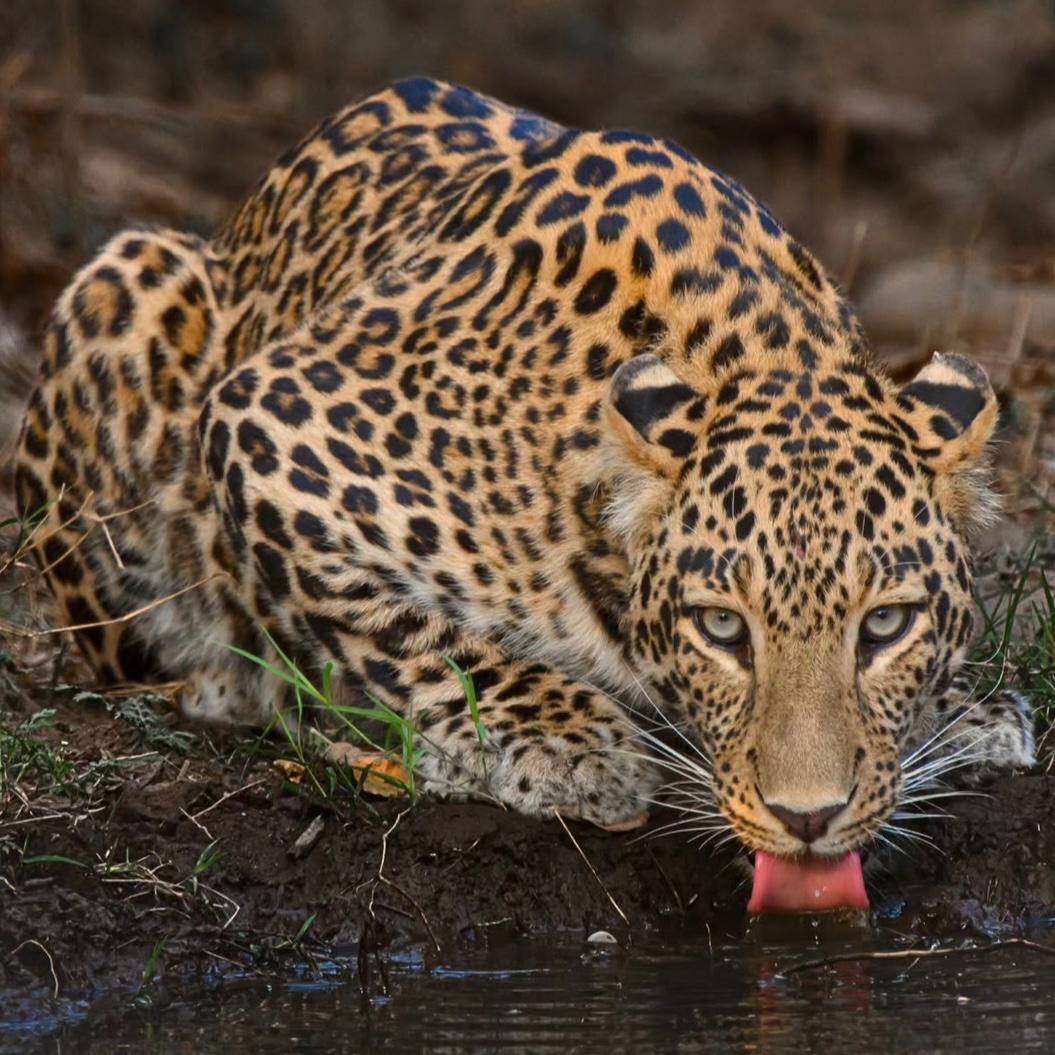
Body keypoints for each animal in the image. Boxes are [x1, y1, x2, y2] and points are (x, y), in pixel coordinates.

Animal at [14, 77, 1034, 860]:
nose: (808, 819)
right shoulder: (274, 420)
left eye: (885, 624)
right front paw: (563, 740)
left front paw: (962, 715)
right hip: (126, 286)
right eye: (721, 628)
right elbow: (407, 630)